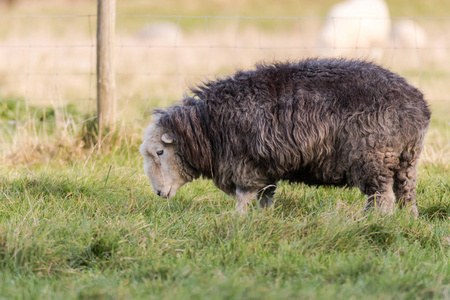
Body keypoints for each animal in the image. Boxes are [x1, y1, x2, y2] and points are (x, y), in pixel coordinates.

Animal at [139, 58, 430, 218]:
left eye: (160, 152)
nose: (158, 193)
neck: (208, 126)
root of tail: (417, 105)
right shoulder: (266, 167)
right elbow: (265, 197)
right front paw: (263, 218)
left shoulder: (245, 164)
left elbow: (244, 196)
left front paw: (238, 219)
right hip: (405, 159)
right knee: (405, 194)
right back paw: (408, 221)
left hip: (373, 157)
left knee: (383, 198)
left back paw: (375, 224)